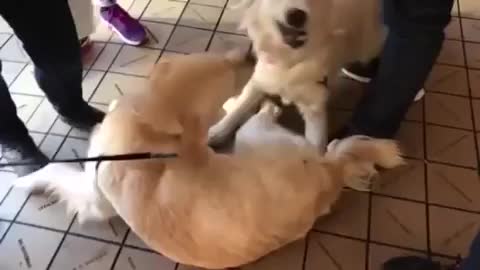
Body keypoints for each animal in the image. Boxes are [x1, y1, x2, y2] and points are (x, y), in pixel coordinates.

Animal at [15, 51, 404, 268]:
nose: (243, 54)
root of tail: (330, 172)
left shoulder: (95, 198)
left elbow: (56, 171)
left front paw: (24, 179)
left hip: (254, 137)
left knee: (262, 116)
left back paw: (262, 105)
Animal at [208, 0, 384, 153]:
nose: (297, 16)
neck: (289, 60)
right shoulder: (261, 78)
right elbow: (241, 105)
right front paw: (219, 131)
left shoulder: (315, 105)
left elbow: (316, 146)